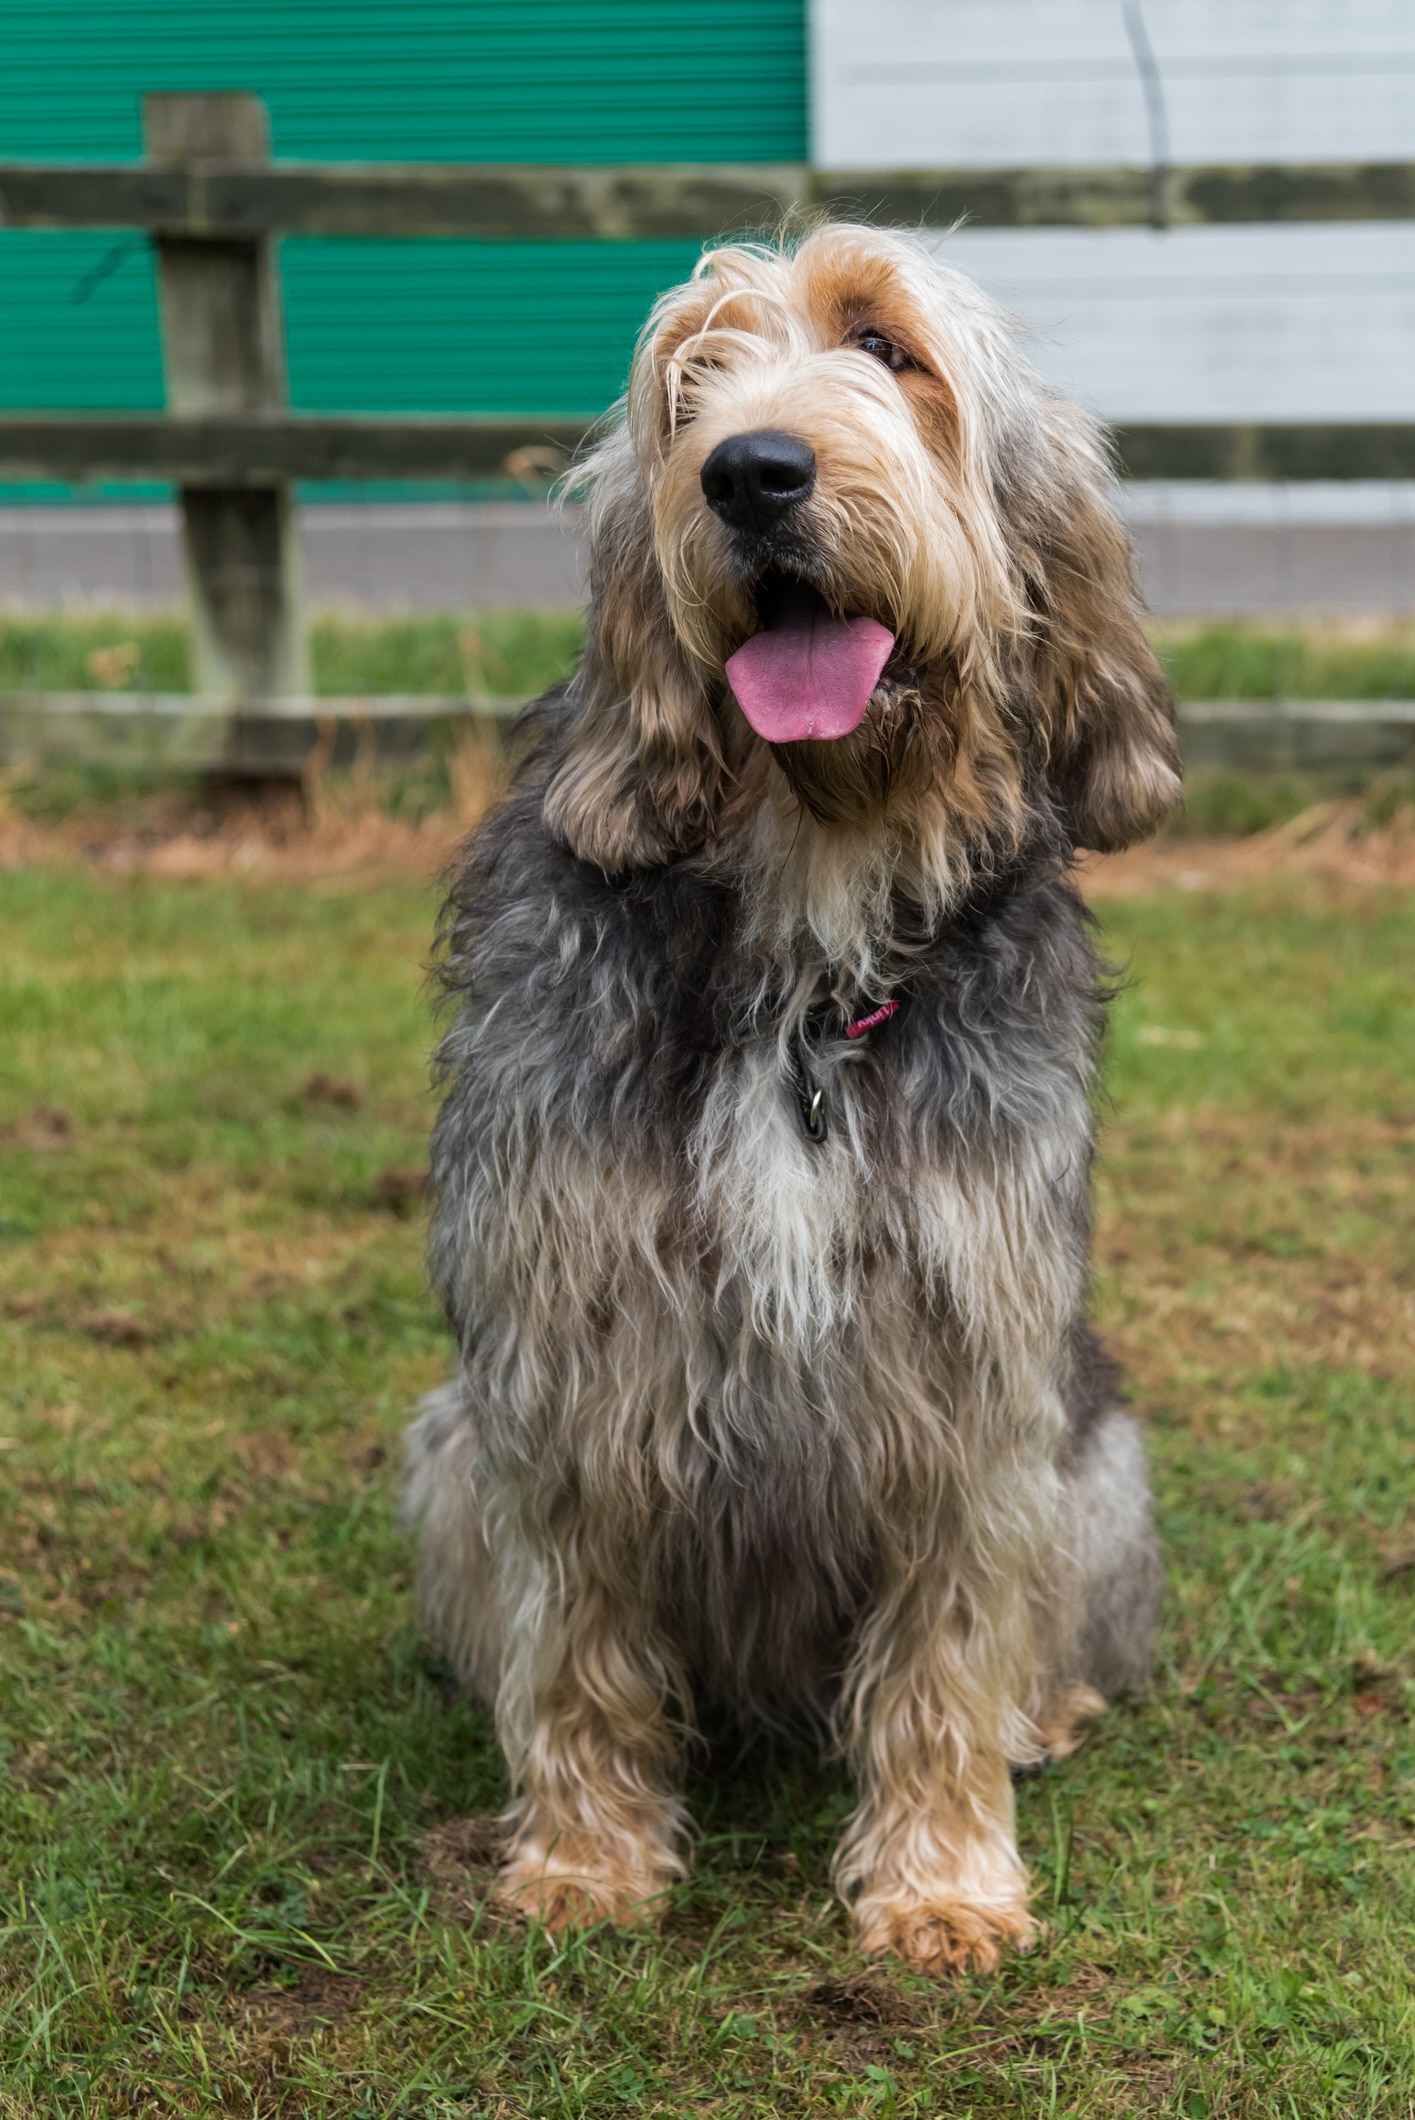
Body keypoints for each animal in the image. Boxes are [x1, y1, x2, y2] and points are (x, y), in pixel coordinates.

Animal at [403, 223, 1179, 1975]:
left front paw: (943, 1882)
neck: (803, 948)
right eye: (686, 378)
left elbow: (946, 1643)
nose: (747, 472)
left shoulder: (971, 1365)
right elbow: (575, 1635)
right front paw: (582, 1860)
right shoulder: (556, 1344)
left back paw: (1040, 1714)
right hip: (442, 1447)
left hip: (1094, 1466)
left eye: (884, 344)